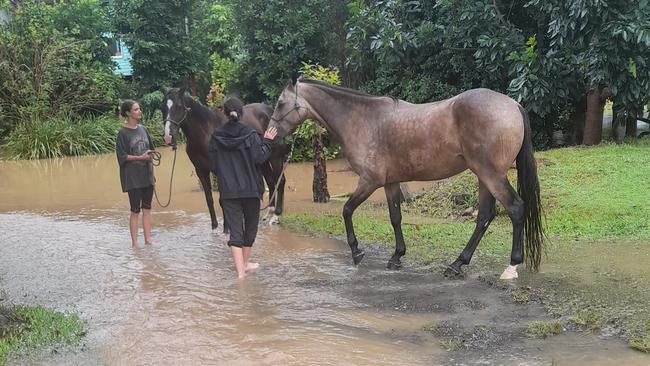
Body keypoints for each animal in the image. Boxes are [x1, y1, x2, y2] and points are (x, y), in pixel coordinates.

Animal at [161, 88, 284, 230]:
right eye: (162, 107)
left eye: (179, 106)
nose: (168, 136)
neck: (205, 133)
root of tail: (269, 111)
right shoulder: (201, 170)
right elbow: (209, 198)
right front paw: (214, 227)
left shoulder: (219, 170)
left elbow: (222, 199)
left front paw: (226, 228)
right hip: (263, 160)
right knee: (271, 181)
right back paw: (268, 215)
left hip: (275, 157)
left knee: (280, 181)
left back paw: (276, 216)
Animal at [268, 78, 540, 278]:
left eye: (280, 103)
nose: (271, 134)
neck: (363, 120)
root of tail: (513, 105)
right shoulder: (390, 182)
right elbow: (395, 217)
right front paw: (397, 256)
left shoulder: (369, 181)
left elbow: (346, 210)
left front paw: (356, 252)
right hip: (484, 177)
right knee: (484, 216)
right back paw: (457, 264)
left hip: (491, 175)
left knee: (515, 208)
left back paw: (511, 266)